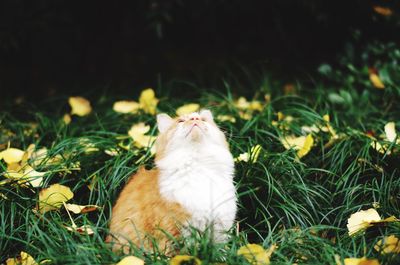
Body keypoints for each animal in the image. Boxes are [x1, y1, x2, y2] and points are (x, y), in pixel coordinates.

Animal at [106, 109, 238, 252]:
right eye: (181, 121)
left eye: (203, 119)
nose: (195, 118)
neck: (199, 169)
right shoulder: (173, 233)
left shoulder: (220, 230)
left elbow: (221, 252)